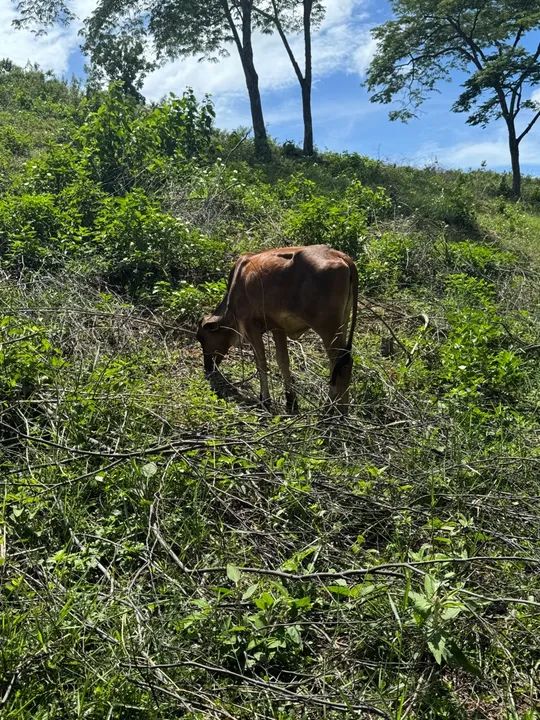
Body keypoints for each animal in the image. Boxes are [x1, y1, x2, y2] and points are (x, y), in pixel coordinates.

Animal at [196, 244, 358, 414]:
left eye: (201, 338)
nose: (207, 367)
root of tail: (338, 254)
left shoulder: (250, 326)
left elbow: (261, 362)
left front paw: (265, 400)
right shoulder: (277, 327)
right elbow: (283, 361)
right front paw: (291, 400)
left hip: (328, 329)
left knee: (342, 364)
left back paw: (338, 410)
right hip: (342, 324)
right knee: (336, 364)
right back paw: (330, 405)